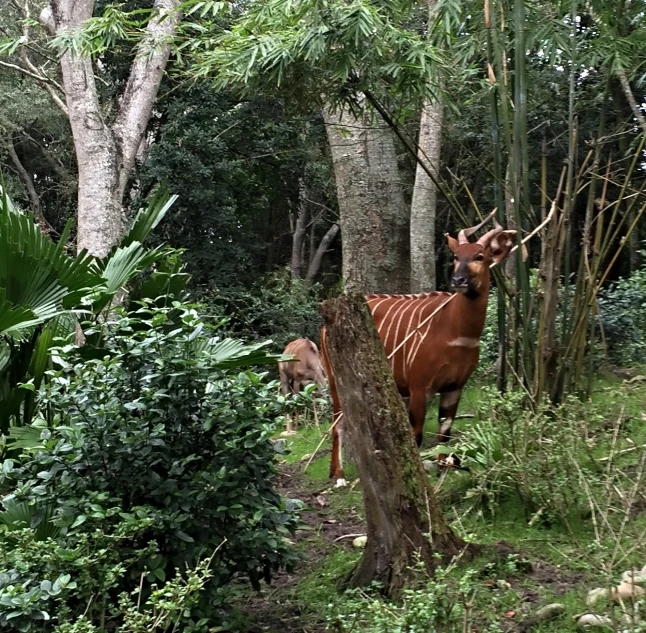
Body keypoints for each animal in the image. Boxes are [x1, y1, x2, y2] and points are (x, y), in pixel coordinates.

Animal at [322, 211, 520, 484]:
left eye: (480, 256)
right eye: (456, 256)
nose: (458, 280)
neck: (455, 332)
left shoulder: (454, 387)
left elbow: (444, 433)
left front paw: (443, 472)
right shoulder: (419, 387)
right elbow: (416, 436)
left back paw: (334, 472)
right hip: (334, 378)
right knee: (338, 422)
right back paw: (340, 476)